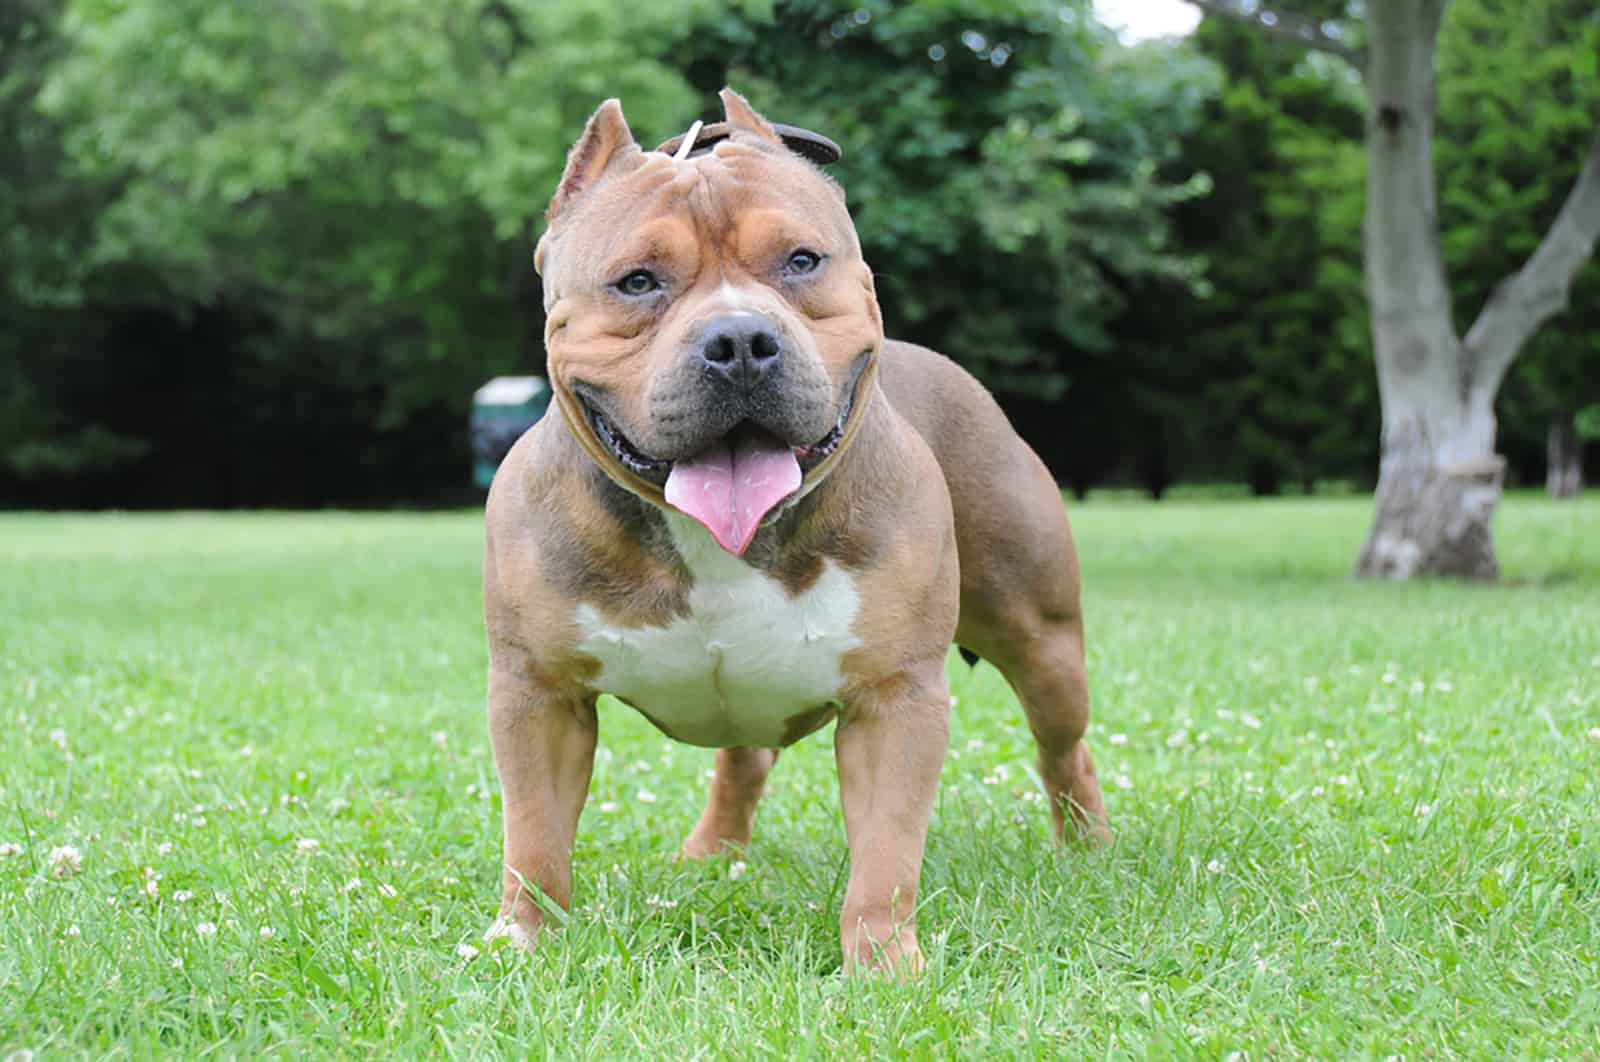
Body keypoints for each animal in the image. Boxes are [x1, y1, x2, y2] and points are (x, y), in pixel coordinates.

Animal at [480, 89, 1107, 972]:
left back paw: (1089, 848)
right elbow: (534, 838)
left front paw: (883, 965)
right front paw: (523, 940)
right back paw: (711, 854)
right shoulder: (539, 695)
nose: (740, 340)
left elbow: (885, 856)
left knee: (1062, 744)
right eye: (636, 282)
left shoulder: (894, 699)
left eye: (802, 262)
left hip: (1043, 641)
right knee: (743, 757)